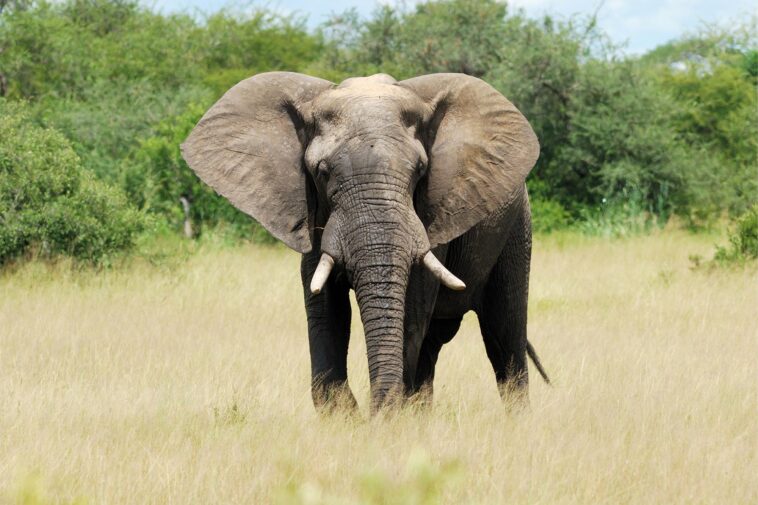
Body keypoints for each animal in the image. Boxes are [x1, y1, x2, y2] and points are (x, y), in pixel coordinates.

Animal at [181, 71, 549, 413]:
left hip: (517, 229)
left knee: (504, 338)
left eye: (420, 170)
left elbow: (410, 314)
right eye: (322, 172)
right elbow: (325, 310)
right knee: (435, 346)